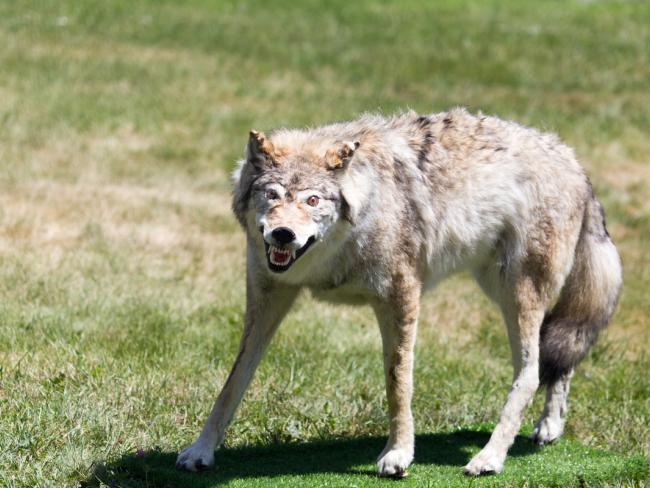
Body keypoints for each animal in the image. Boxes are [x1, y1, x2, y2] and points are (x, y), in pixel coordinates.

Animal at [175, 109, 620, 476]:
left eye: (313, 200)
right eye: (272, 195)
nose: (283, 234)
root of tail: (572, 159)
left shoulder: (402, 295)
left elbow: (398, 382)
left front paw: (399, 454)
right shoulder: (267, 297)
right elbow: (233, 383)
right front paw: (201, 450)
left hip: (517, 295)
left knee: (530, 372)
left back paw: (490, 457)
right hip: (502, 290)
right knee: (556, 360)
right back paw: (549, 427)